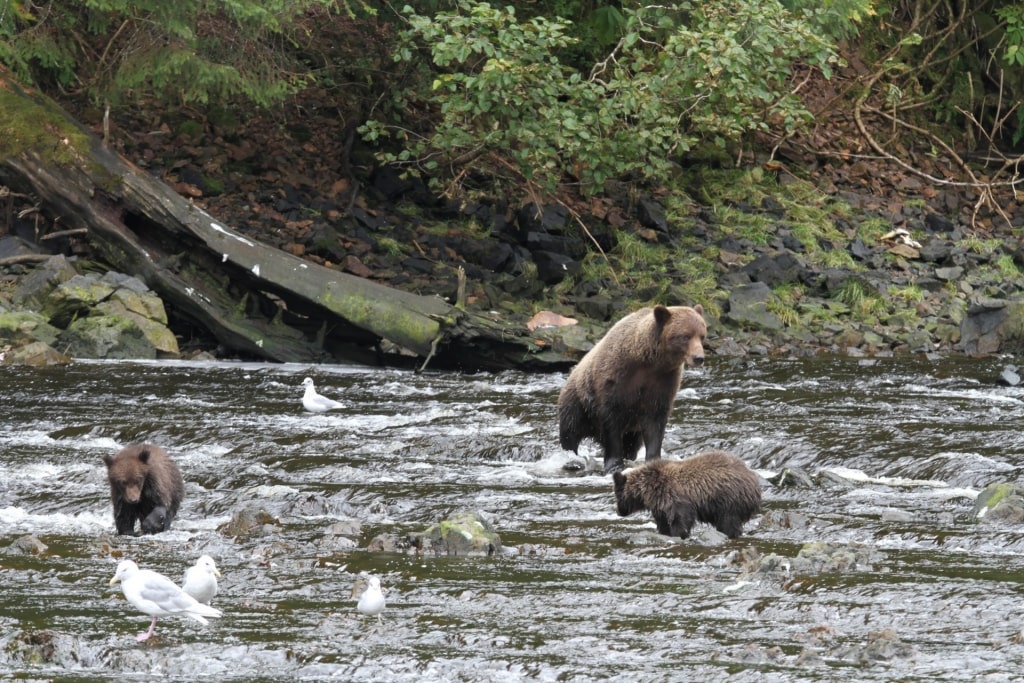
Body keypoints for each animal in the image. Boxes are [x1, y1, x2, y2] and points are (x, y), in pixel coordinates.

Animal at [557, 305, 708, 475]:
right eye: (685, 336)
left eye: (702, 336)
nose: (699, 358)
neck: (649, 361)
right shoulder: (614, 380)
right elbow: (611, 422)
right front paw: (614, 465)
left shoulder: (662, 383)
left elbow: (655, 424)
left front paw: (653, 459)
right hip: (578, 403)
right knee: (570, 432)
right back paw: (571, 459)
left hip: (632, 430)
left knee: (632, 444)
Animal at [610, 450, 757, 540]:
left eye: (617, 495)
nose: (619, 511)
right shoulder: (660, 505)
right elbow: (663, 522)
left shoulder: (674, 497)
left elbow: (681, 518)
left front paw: (679, 534)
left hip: (729, 501)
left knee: (728, 523)